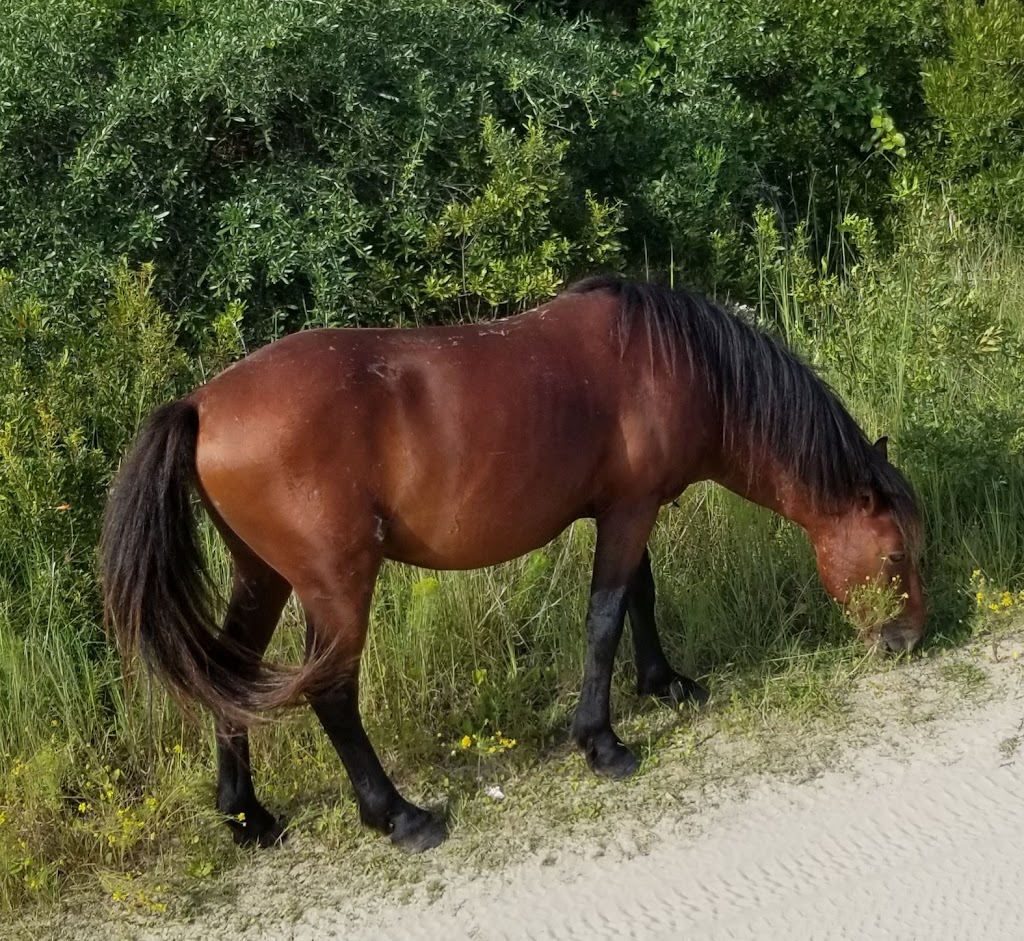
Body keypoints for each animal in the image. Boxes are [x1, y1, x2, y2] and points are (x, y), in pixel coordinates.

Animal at [103, 274, 929, 851]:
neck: (675, 362)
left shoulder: (627, 508)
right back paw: (399, 816)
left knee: (232, 671)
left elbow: (641, 597)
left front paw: (665, 683)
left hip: (263, 574)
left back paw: (247, 814)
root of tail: (201, 402)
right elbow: (605, 617)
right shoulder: (629, 510)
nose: (911, 640)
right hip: (334, 585)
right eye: (896, 553)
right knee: (330, 691)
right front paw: (602, 742)